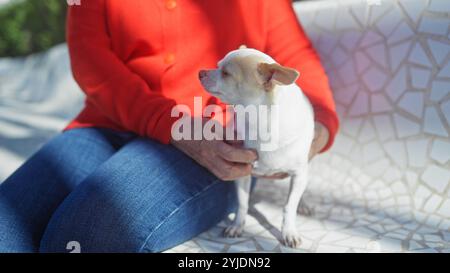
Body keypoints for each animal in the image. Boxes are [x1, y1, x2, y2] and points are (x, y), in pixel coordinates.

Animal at [199, 46, 314, 246]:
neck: (258, 122)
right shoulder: (242, 172)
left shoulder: (299, 174)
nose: (200, 72)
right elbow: (242, 203)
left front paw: (289, 231)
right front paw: (238, 225)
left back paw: (304, 204)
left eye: (226, 73)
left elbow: (289, 206)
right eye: (217, 65)